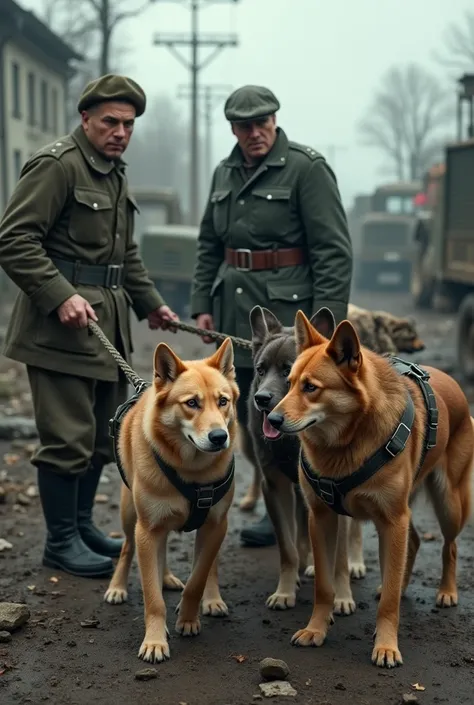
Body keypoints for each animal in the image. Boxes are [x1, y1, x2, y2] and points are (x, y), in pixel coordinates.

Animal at [103, 338, 237, 664]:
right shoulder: (147, 529)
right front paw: (154, 640)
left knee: (204, 562)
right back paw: (117, 587)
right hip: (131, 516)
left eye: (223, 401)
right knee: (128, 548)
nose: (219, 437)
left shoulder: (215, 525)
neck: (192, 471)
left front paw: (188, 618)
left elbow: (198, 578)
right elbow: (153, 598)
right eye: (191, 403)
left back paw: (208, 597)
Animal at [266, 310, 474, 668]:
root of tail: (451, 380)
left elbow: (388, 602)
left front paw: (387, 645)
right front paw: (316, 630)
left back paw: (447, 591)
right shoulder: (322, 518)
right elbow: (324, 586)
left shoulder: (392, 520)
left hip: (448, 505)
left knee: (449, 546)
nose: (271, 418)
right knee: (414, 542)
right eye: (290, 383)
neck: (345, 444)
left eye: (311, 388)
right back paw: (404, 585)